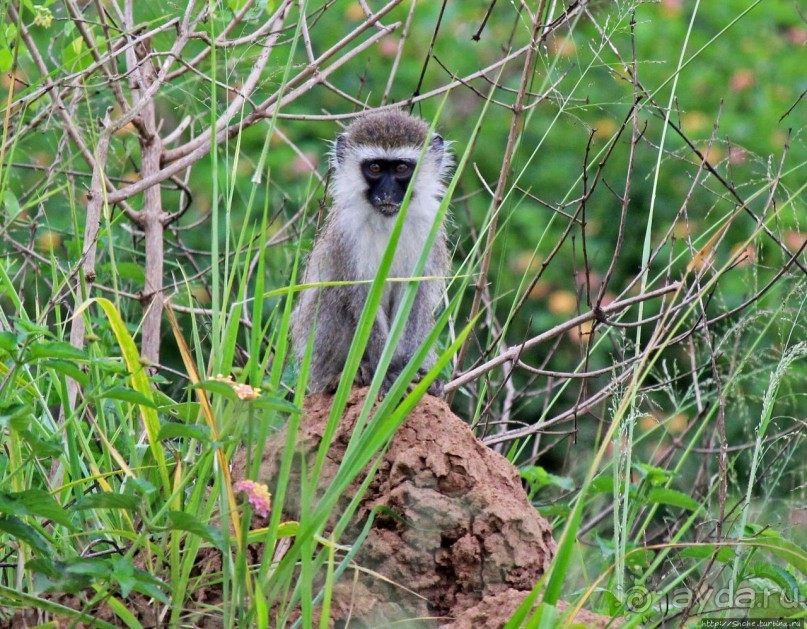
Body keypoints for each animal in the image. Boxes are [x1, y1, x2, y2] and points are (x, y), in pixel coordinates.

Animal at [292, 108, 454, 392]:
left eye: (401, 168)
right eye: (375, 168)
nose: (387, 193)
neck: (389, 222)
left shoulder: (429, 228)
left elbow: (414, 292)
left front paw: (404, 368)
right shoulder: (348, 233)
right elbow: (362, 294)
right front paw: (385, 369)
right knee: (332, 296)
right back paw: (341, 376)